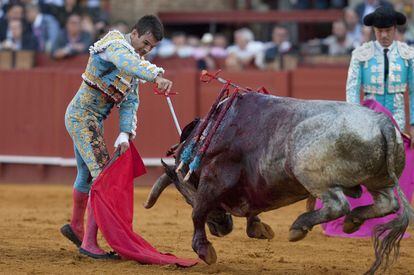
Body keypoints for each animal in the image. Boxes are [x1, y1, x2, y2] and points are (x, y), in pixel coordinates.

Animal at [144, 92, 412, 274]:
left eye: (184, 194)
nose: (221, 229)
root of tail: (382, 123)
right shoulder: (254, 186)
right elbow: (251, 210)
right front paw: (259, 228)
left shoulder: (214, 180)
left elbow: (198, 212)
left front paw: (204, 249)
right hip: (379, 180)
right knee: (387, 203)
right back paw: (352, 221)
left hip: (312, 175)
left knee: (338, 204)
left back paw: (300, 226)